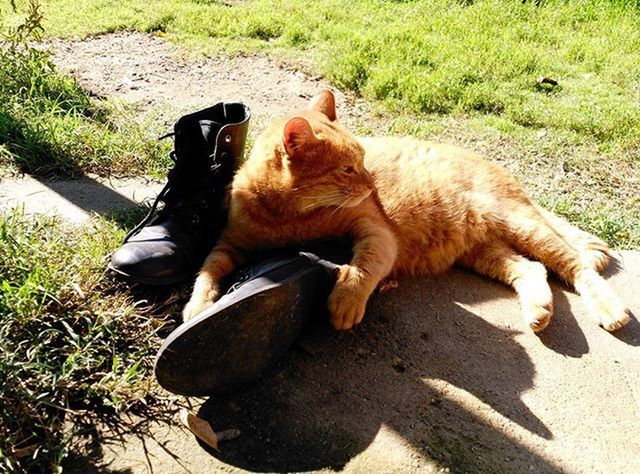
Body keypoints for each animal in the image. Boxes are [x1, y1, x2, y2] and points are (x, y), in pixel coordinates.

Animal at [184, 90, 632, 334]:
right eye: (347, 169)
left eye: (364, 159)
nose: (371, 186)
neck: (286, 218)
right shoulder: (229, 243)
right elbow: (206, 270)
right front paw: (196, 307)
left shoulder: (376, 233)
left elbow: (362, 268)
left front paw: (346, 299)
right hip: (484, 251)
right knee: (532, 269)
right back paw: (539, 310)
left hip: (520, 224)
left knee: (576, 266)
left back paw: (609, 309)